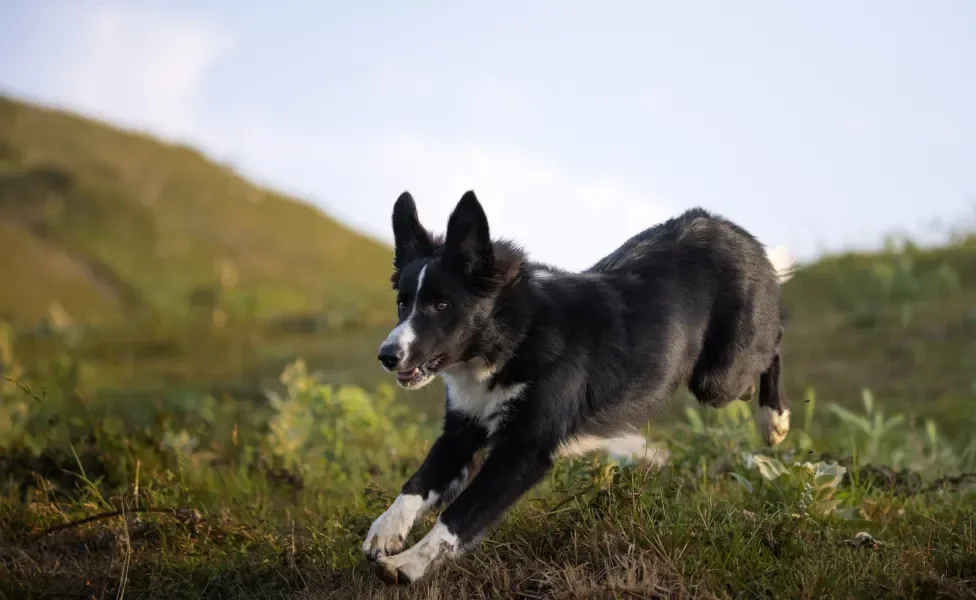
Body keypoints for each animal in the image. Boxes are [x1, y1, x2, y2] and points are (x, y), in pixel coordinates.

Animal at [362, 191, 788, 580]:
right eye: (402, 303)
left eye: (441, 305)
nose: (386, 356)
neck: (513, 335)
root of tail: (724, 224)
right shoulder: (461, 432)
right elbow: (418, 483)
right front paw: (385, 530)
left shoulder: (524, 452)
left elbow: (460, 515)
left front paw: (409, 564)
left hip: (718, 378)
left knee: (776, 339)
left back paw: (775, 419)